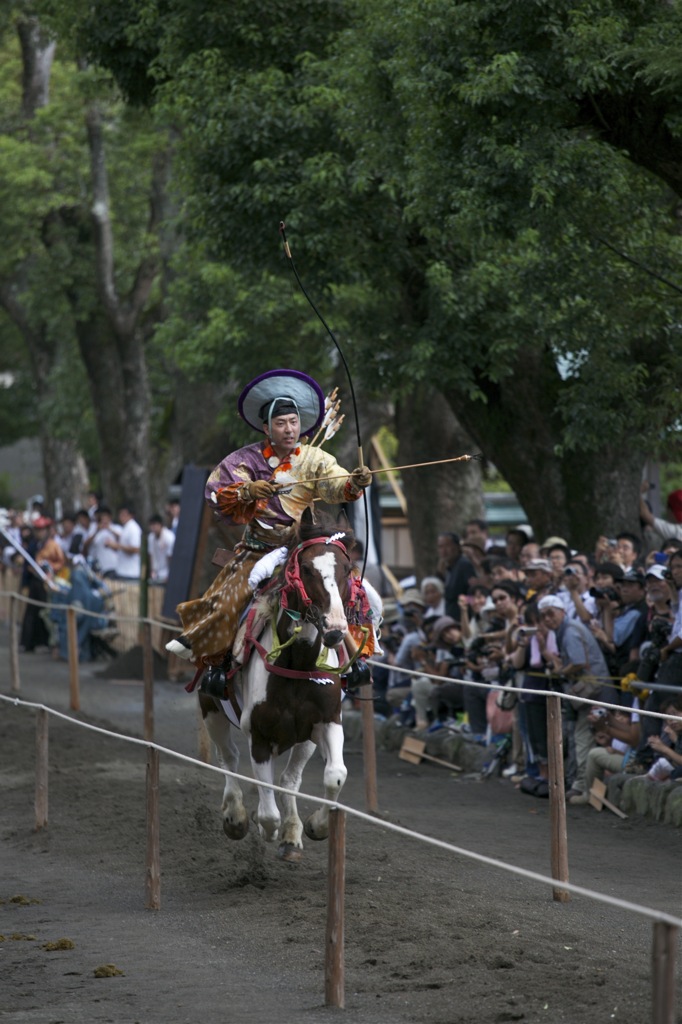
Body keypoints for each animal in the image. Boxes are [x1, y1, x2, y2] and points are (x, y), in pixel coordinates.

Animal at [197, 507, 366, 860]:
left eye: (346, 570)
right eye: (306, 568)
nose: (335, 628)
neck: (297, 663)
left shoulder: (327, 721)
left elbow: (335, 775)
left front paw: (317, 826)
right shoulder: (259, 733)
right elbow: (266, 803)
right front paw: (263, 825)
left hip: (304, 738)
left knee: (290, 778)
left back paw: (291, 833)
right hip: (211, 708)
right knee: (228, 757)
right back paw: (236, 817)